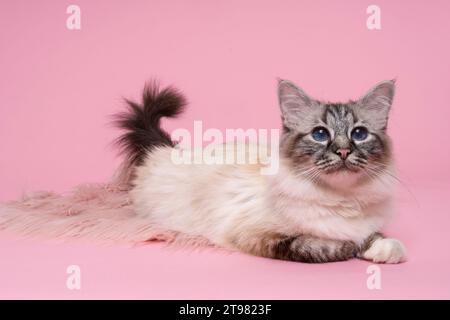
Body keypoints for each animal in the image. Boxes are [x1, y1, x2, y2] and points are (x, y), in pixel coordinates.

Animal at [114, 79, 406, 264]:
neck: (341, 199)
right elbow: (317, 245)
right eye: (320, 134)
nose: (343, 151)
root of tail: (166, 150)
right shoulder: (259, 236)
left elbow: (375, 235)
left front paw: (386, 249)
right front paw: (350, 246)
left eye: (359, 134)